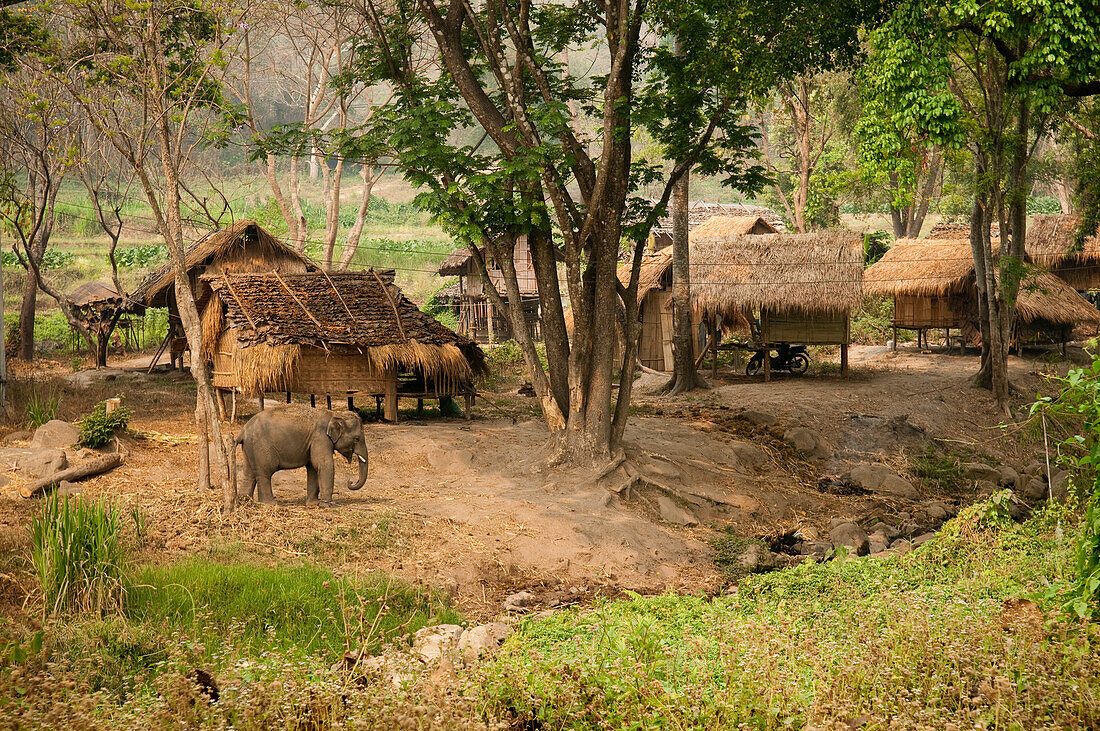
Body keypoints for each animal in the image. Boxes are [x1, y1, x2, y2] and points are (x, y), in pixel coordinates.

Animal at [231, 402, 369, 505]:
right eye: (357, 438)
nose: (350, 481)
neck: (333, 414)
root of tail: (243, 431)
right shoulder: (320, 438)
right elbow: (324, 464)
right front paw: (326, 505)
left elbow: (313, 467)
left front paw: (313, 504)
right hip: (261, 448)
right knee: (265, 473)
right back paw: (270, 504)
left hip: (250, 449)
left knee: (249, 473)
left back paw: (245, 500)